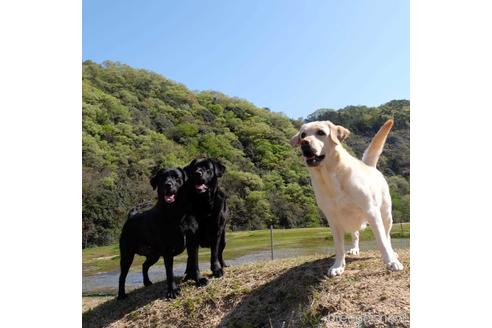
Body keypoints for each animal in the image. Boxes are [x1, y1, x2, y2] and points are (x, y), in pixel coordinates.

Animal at [118, 168, 189, 298]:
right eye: (162, 178)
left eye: (177, 178)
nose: (167, 184)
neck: (175, 213)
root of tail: (131, 216)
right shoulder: (167, 251)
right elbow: (169, 273)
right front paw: (172, 291)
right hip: (127, 254)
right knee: (122, 276)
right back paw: (121, 295)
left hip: (153, 255)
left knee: (144, 265)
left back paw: (147, 282)